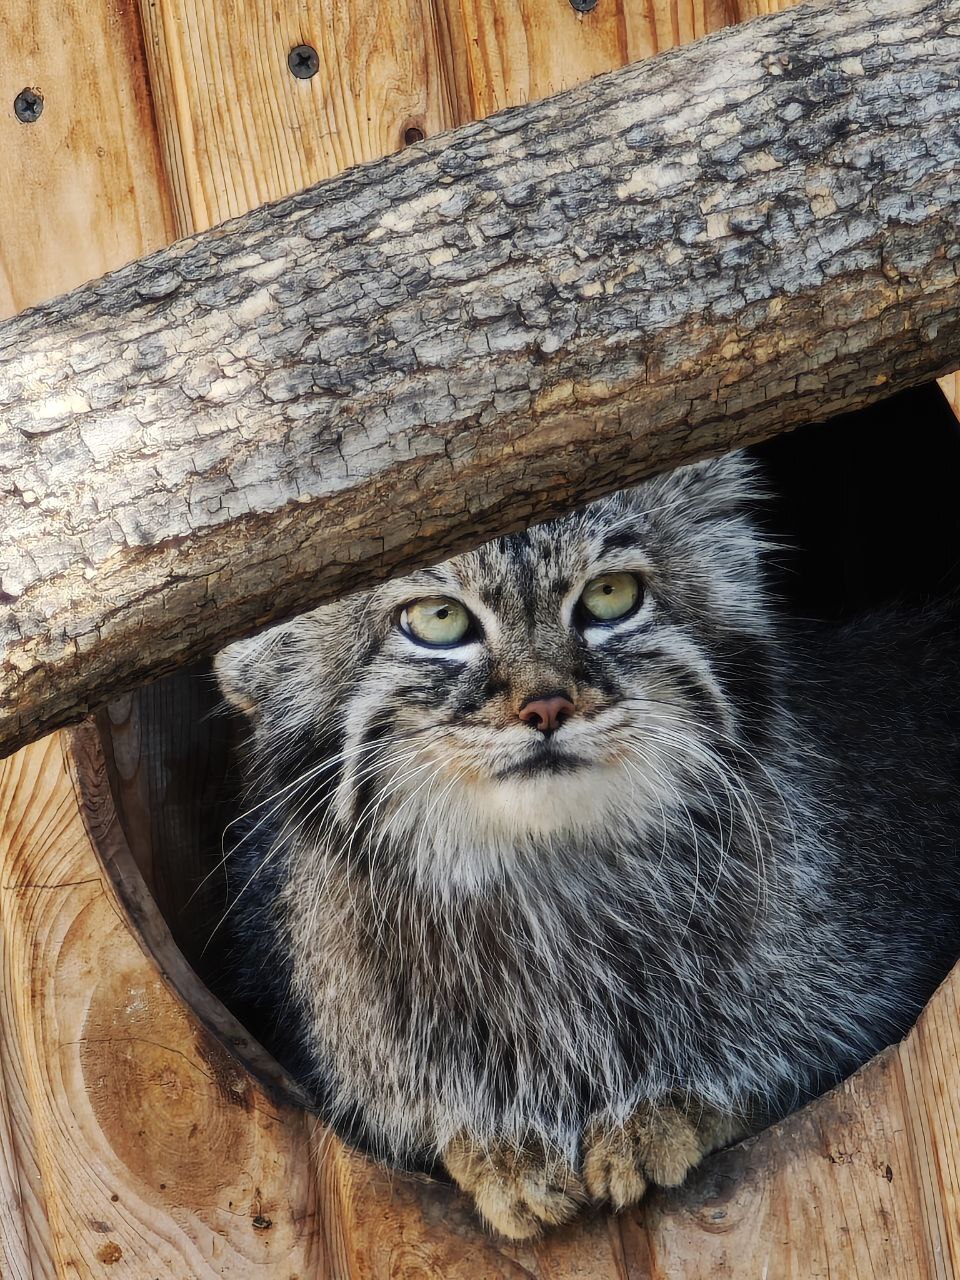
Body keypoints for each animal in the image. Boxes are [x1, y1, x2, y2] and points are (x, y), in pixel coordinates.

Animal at [216, 455, 960, 1233]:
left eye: (610, 596)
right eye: (439, 619)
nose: (548, 706)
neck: (545, 883)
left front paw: (666, 1107)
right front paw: (497, 1144)